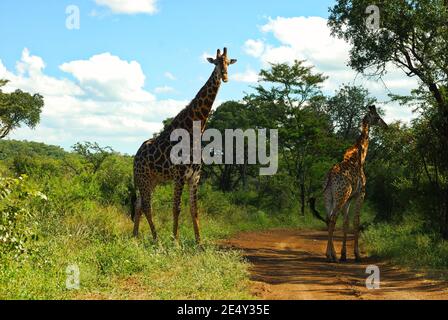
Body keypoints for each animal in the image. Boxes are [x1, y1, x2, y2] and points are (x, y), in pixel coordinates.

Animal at [131, 47, 236, 244]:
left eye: (228, 62)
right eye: (216, 63)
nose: (225, 77)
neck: (195, 132)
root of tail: (135, 157)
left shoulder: (194, 177)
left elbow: (194, 209)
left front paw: (199, 243)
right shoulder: (179, 176)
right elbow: (177, 208)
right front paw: (176, 241)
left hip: (152, 180)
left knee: (139, 203)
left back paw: (134, 236)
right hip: (144, 178)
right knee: (147, 206)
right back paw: (156, 239)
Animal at [310, 105, 386, 262]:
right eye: (377, 117)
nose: (386, 126)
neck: (360, 157)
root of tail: (330, 176)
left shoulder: (349, 198)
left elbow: (346, 222)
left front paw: (344, 255)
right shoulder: (360, 194)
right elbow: (356, 221)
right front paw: (356, 255)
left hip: (329, 196)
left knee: (328, 218)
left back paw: (332, 254)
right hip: (341, 195)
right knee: (333, 218)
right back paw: (330, 256)